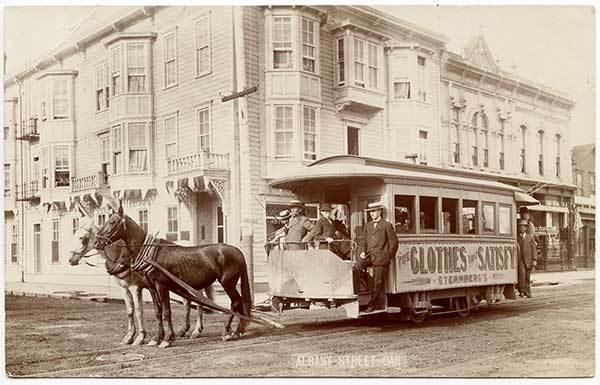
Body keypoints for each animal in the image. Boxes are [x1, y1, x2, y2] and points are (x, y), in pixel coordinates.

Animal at [95, 202, 254, 344]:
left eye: (112, 222)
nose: (97, 242)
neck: (152, 255)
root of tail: (238, 251)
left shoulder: (161, 285)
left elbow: (166, 312)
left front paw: (167, 339)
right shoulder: (151, 287)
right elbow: (158, 312)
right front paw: (156, 338)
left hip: (228, 282)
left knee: (235, 302)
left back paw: (228, 332)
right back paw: (236, 331)